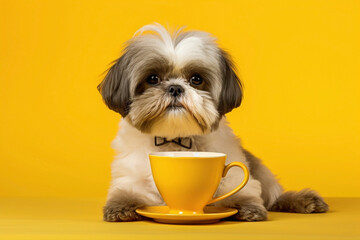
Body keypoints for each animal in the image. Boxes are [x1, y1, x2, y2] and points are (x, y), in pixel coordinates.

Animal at [97, 23, 328, 221]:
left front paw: (246, 206)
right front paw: (121, 206)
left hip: (261, 171)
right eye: (152, 78)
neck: (177, 139)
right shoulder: (132, 176)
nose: (175, 88)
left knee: (274, 197)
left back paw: (301, 200)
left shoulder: (235, 169)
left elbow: (240, 189)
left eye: (196, 79)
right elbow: (127, 191)